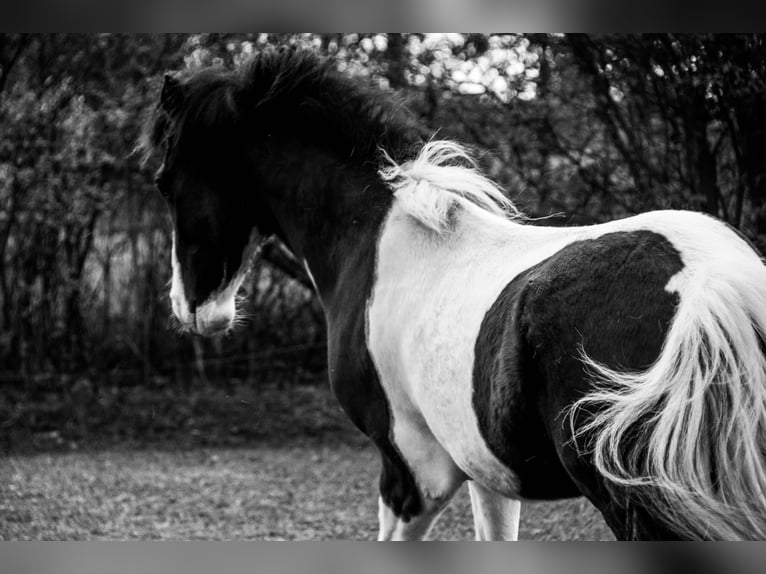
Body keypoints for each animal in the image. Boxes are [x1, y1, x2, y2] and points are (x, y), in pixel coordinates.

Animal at [143, 48, 766, 540]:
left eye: (164, 181)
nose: (192, 308)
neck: (378, 240)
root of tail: (706, 281)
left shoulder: (413, 474)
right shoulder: (487, 472)